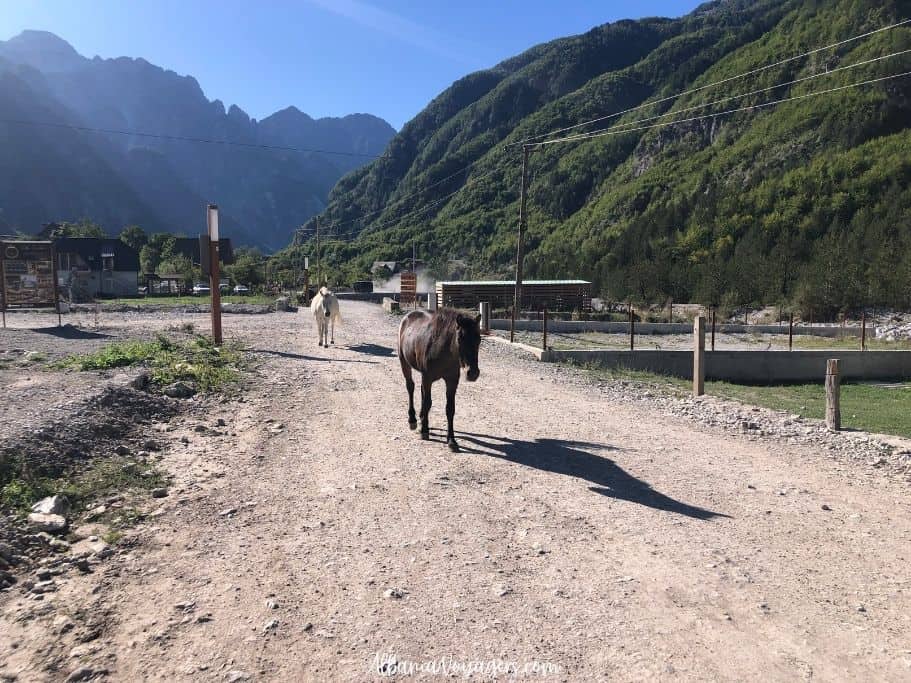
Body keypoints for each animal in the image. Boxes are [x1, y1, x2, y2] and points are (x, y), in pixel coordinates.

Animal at [398, 308, 482, 452]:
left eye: (479, 339)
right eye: (460, 338)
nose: (473, 373)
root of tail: (407, 316)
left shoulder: (452, 381)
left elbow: (450, 409)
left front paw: (451, 440)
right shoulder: (427, 378)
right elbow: (427, 403)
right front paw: (424, 431)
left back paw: (421, 417)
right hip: (404, 363)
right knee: (410, 387)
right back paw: (413, 420)